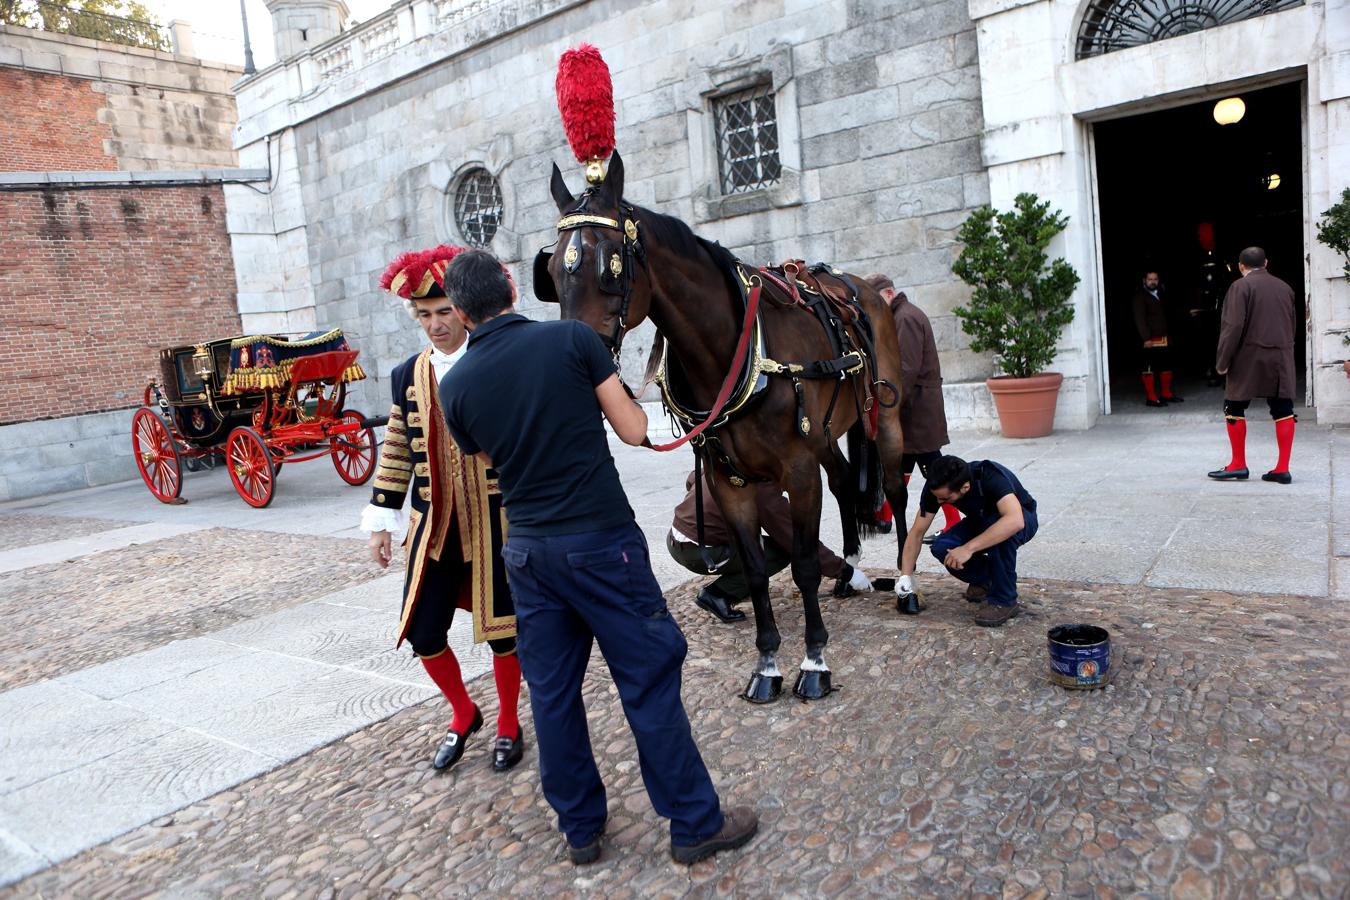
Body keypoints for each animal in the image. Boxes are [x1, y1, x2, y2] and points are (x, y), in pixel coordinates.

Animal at [531, 151, 912, 701]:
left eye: (610, 268)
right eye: (551, 272)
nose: (573, 366)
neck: (733, 350)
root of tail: (859, 289)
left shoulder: (798, 472)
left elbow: (803, 564)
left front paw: (814, 661)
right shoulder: (728, 480)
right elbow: (753, 570)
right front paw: (767, 665)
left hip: (884, 416)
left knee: (898, 491)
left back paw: (905, 583)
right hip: (824, 437)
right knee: (844, 483)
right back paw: (850, 572)